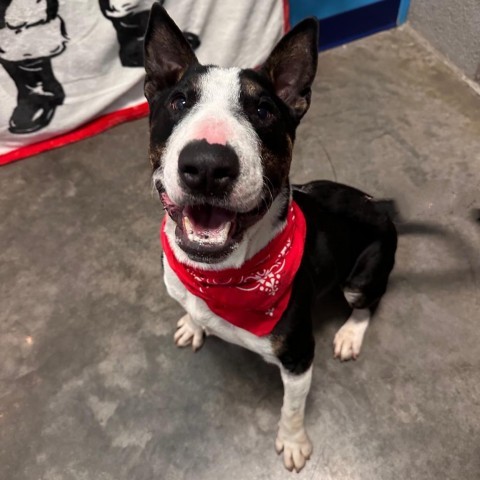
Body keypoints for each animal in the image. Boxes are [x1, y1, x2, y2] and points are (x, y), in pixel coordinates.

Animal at [143, 3, 398, 472]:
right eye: (178, 101)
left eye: (263, 110)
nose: (207, 165)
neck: (222, 278)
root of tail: (381, 207)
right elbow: (191, 309)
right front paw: (193, 323)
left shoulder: (298, 356)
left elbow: (291, 408)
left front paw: (294, 443)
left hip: (364, 275)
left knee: (368, 302)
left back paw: (350, 334)